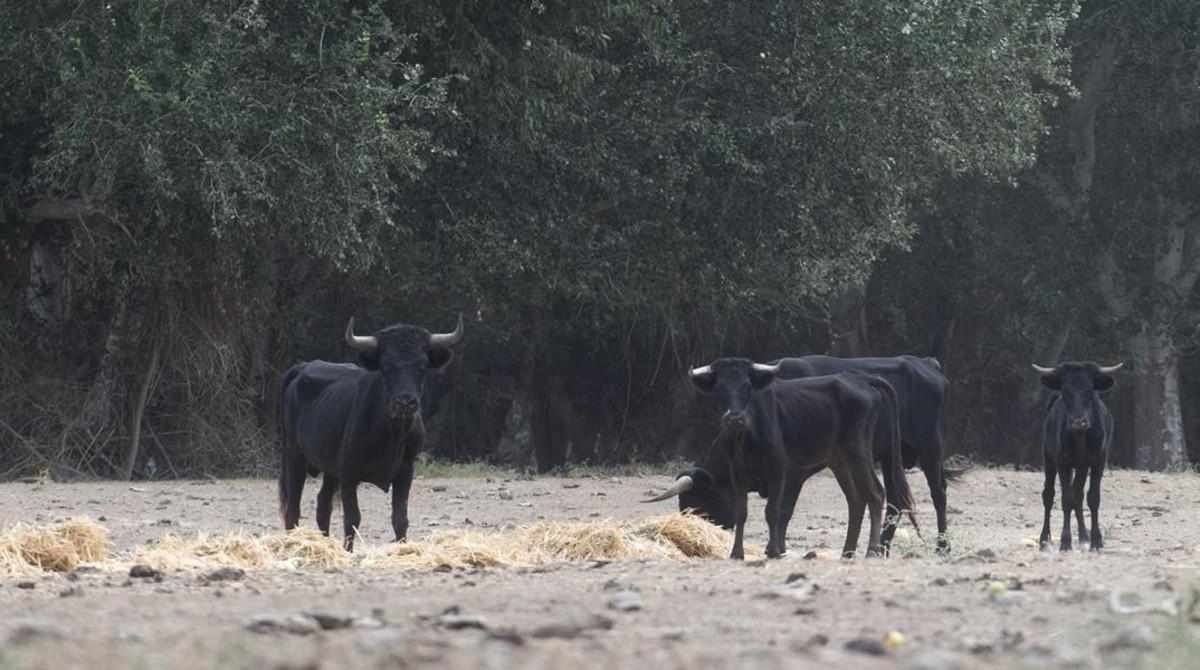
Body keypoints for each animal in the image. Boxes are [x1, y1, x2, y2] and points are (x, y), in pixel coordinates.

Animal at [279, 314, 463, 552]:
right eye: (386, 366)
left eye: (422, 366)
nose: (405, 402)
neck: (393, 432)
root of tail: (303, 366)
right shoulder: (349, 473)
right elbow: (352, 518)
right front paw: (348, 552)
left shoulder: (405, 470)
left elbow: (400, 518)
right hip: (294, 453)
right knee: (293, 508)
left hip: (329, 467)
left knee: (323, 505)